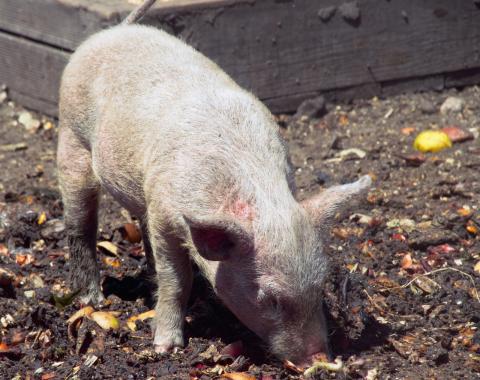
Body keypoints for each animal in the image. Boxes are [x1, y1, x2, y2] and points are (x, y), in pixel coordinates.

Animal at [57, 0, 372, 368]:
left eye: (321, 287)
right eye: (271, 299)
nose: (319, 358)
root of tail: (115, 31)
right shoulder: (165, 215)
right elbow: (176, 280)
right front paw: (165, 347)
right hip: (72, 138)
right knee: (80, 224)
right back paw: (92, 299)